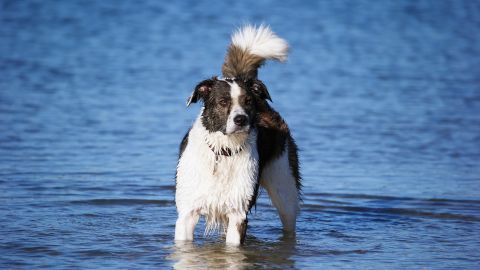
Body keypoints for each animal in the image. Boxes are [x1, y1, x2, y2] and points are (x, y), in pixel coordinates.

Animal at [174, 24, 300, 245]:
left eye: (248, 101)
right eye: (223, 102)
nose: (241, 119)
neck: (223, 151)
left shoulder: (238, 212)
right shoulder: (187, 212)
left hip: (285, 187)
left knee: (289, 219)